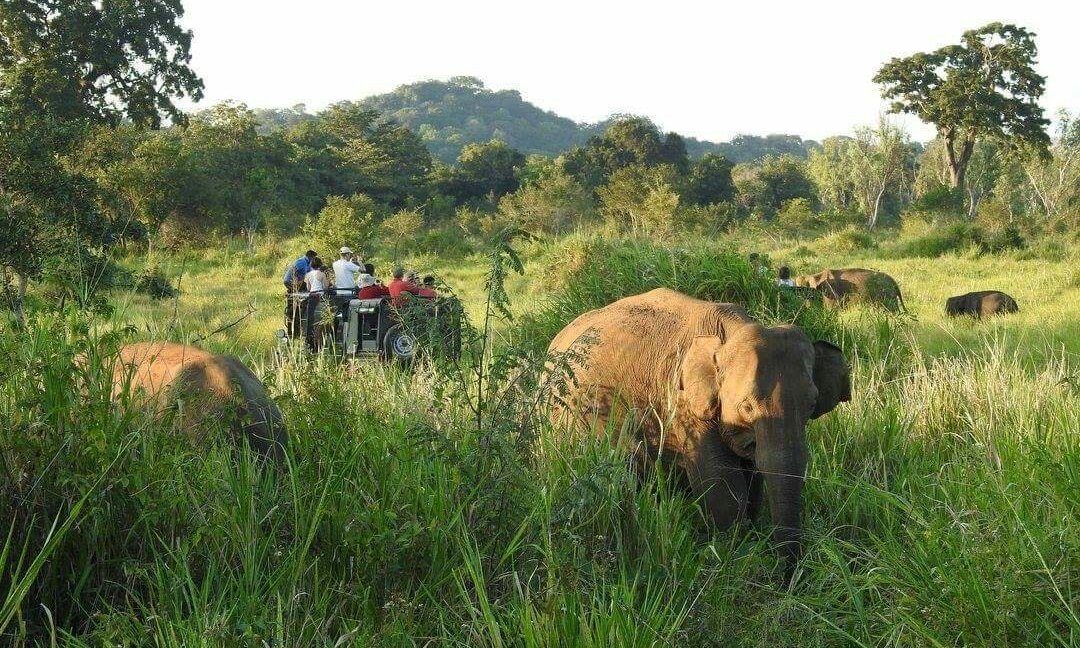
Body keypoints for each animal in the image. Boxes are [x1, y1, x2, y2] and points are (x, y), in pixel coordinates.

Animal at [548, 289, 851, 565]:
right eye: (747, 408)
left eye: (811, 406)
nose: (786, 578)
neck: (728, 331)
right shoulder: (684, 405)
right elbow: (721, 479)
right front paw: (735, 552)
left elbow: (753, 474)